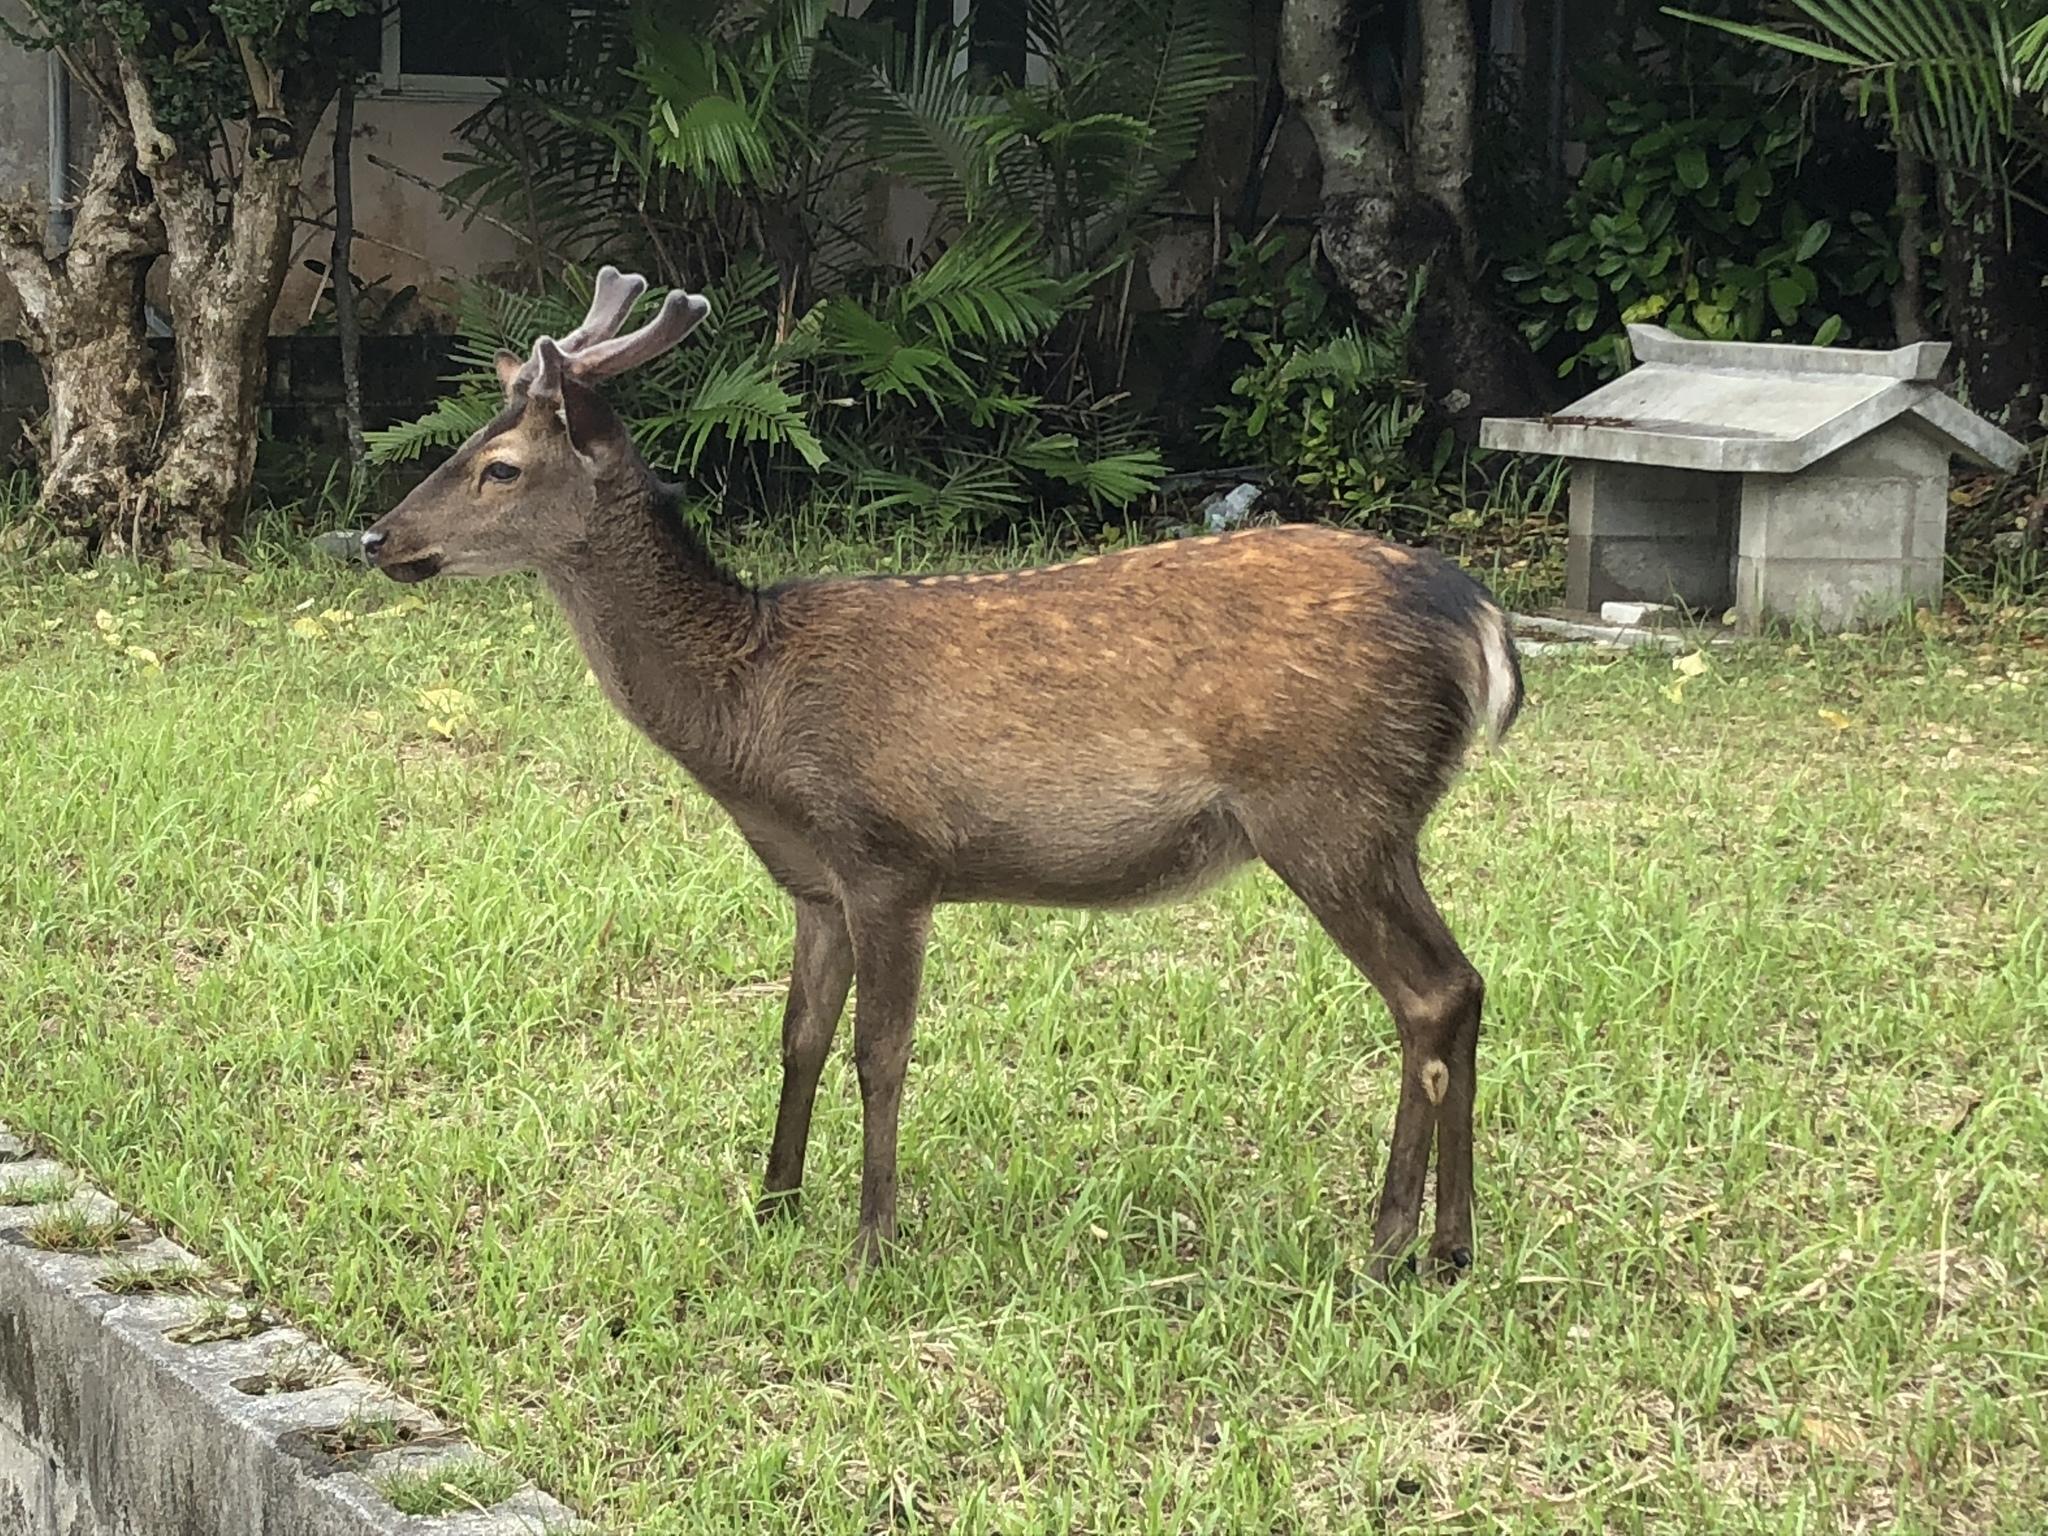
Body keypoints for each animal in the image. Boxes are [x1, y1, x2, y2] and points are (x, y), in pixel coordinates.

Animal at [361, 267, 1524, 1282]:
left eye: (501, 467)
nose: (378, 536)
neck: (750, 721)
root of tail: (1477, 620)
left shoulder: (890, 855)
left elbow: (881, 1052)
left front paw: (870, 1243)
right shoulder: (814, 882)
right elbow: (797, 1040)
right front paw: (774, 1203)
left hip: (1326, 808)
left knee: (1426, 993)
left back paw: (1389, 1244)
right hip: (1376, 819)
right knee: (1461, 985)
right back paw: (1449, 1247)